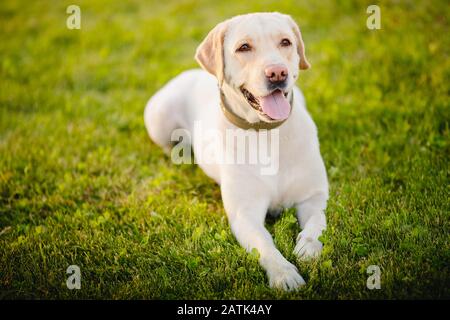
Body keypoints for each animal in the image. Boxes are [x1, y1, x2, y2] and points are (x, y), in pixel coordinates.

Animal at [146, 12, 328, 292]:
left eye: (285, 42)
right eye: (244, 47)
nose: (278, 73)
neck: (266, 134)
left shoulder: (314, 196)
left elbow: (316, 223)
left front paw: (308, 249)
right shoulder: (245, 214)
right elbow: (265, 245)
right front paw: (283, 273)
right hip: (158, 118)